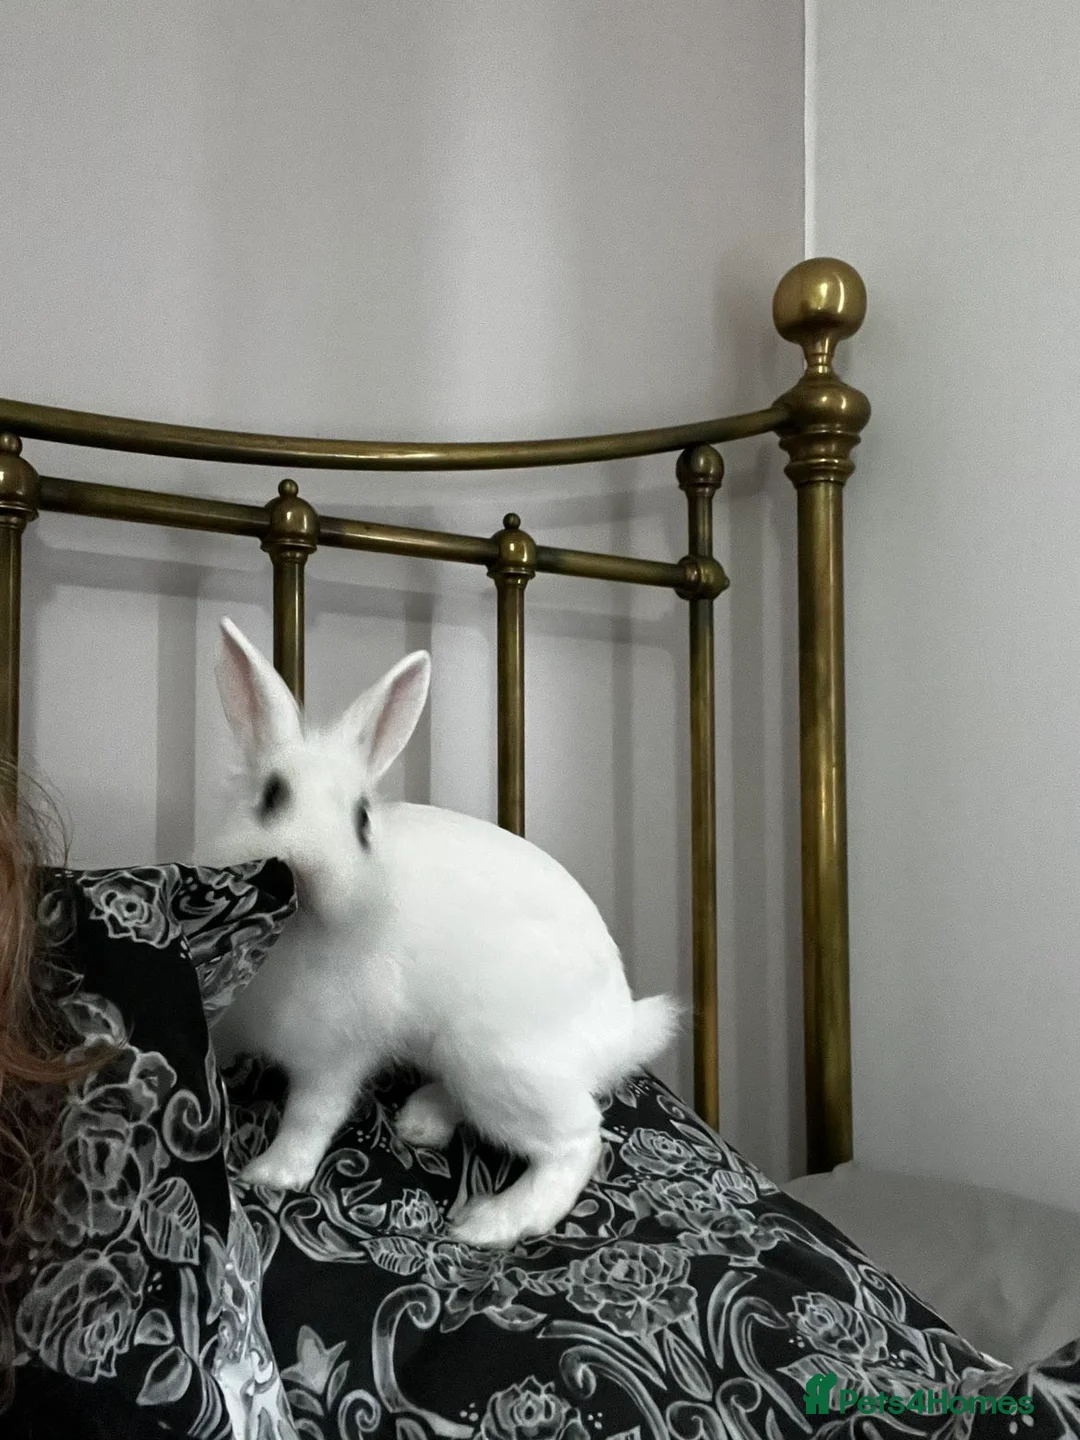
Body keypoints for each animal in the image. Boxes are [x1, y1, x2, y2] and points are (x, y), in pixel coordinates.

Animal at [198, 617, 678, 1249]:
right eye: (273, 796)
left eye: (362, 821)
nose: (309, 873)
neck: (295, 938)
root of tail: (619, 1031)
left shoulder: (338, 1050)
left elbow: (313, 1114)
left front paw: (273, 1173)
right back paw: (422, 1121)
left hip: (497, 1060)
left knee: (578, 1139)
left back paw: (492, 1223)